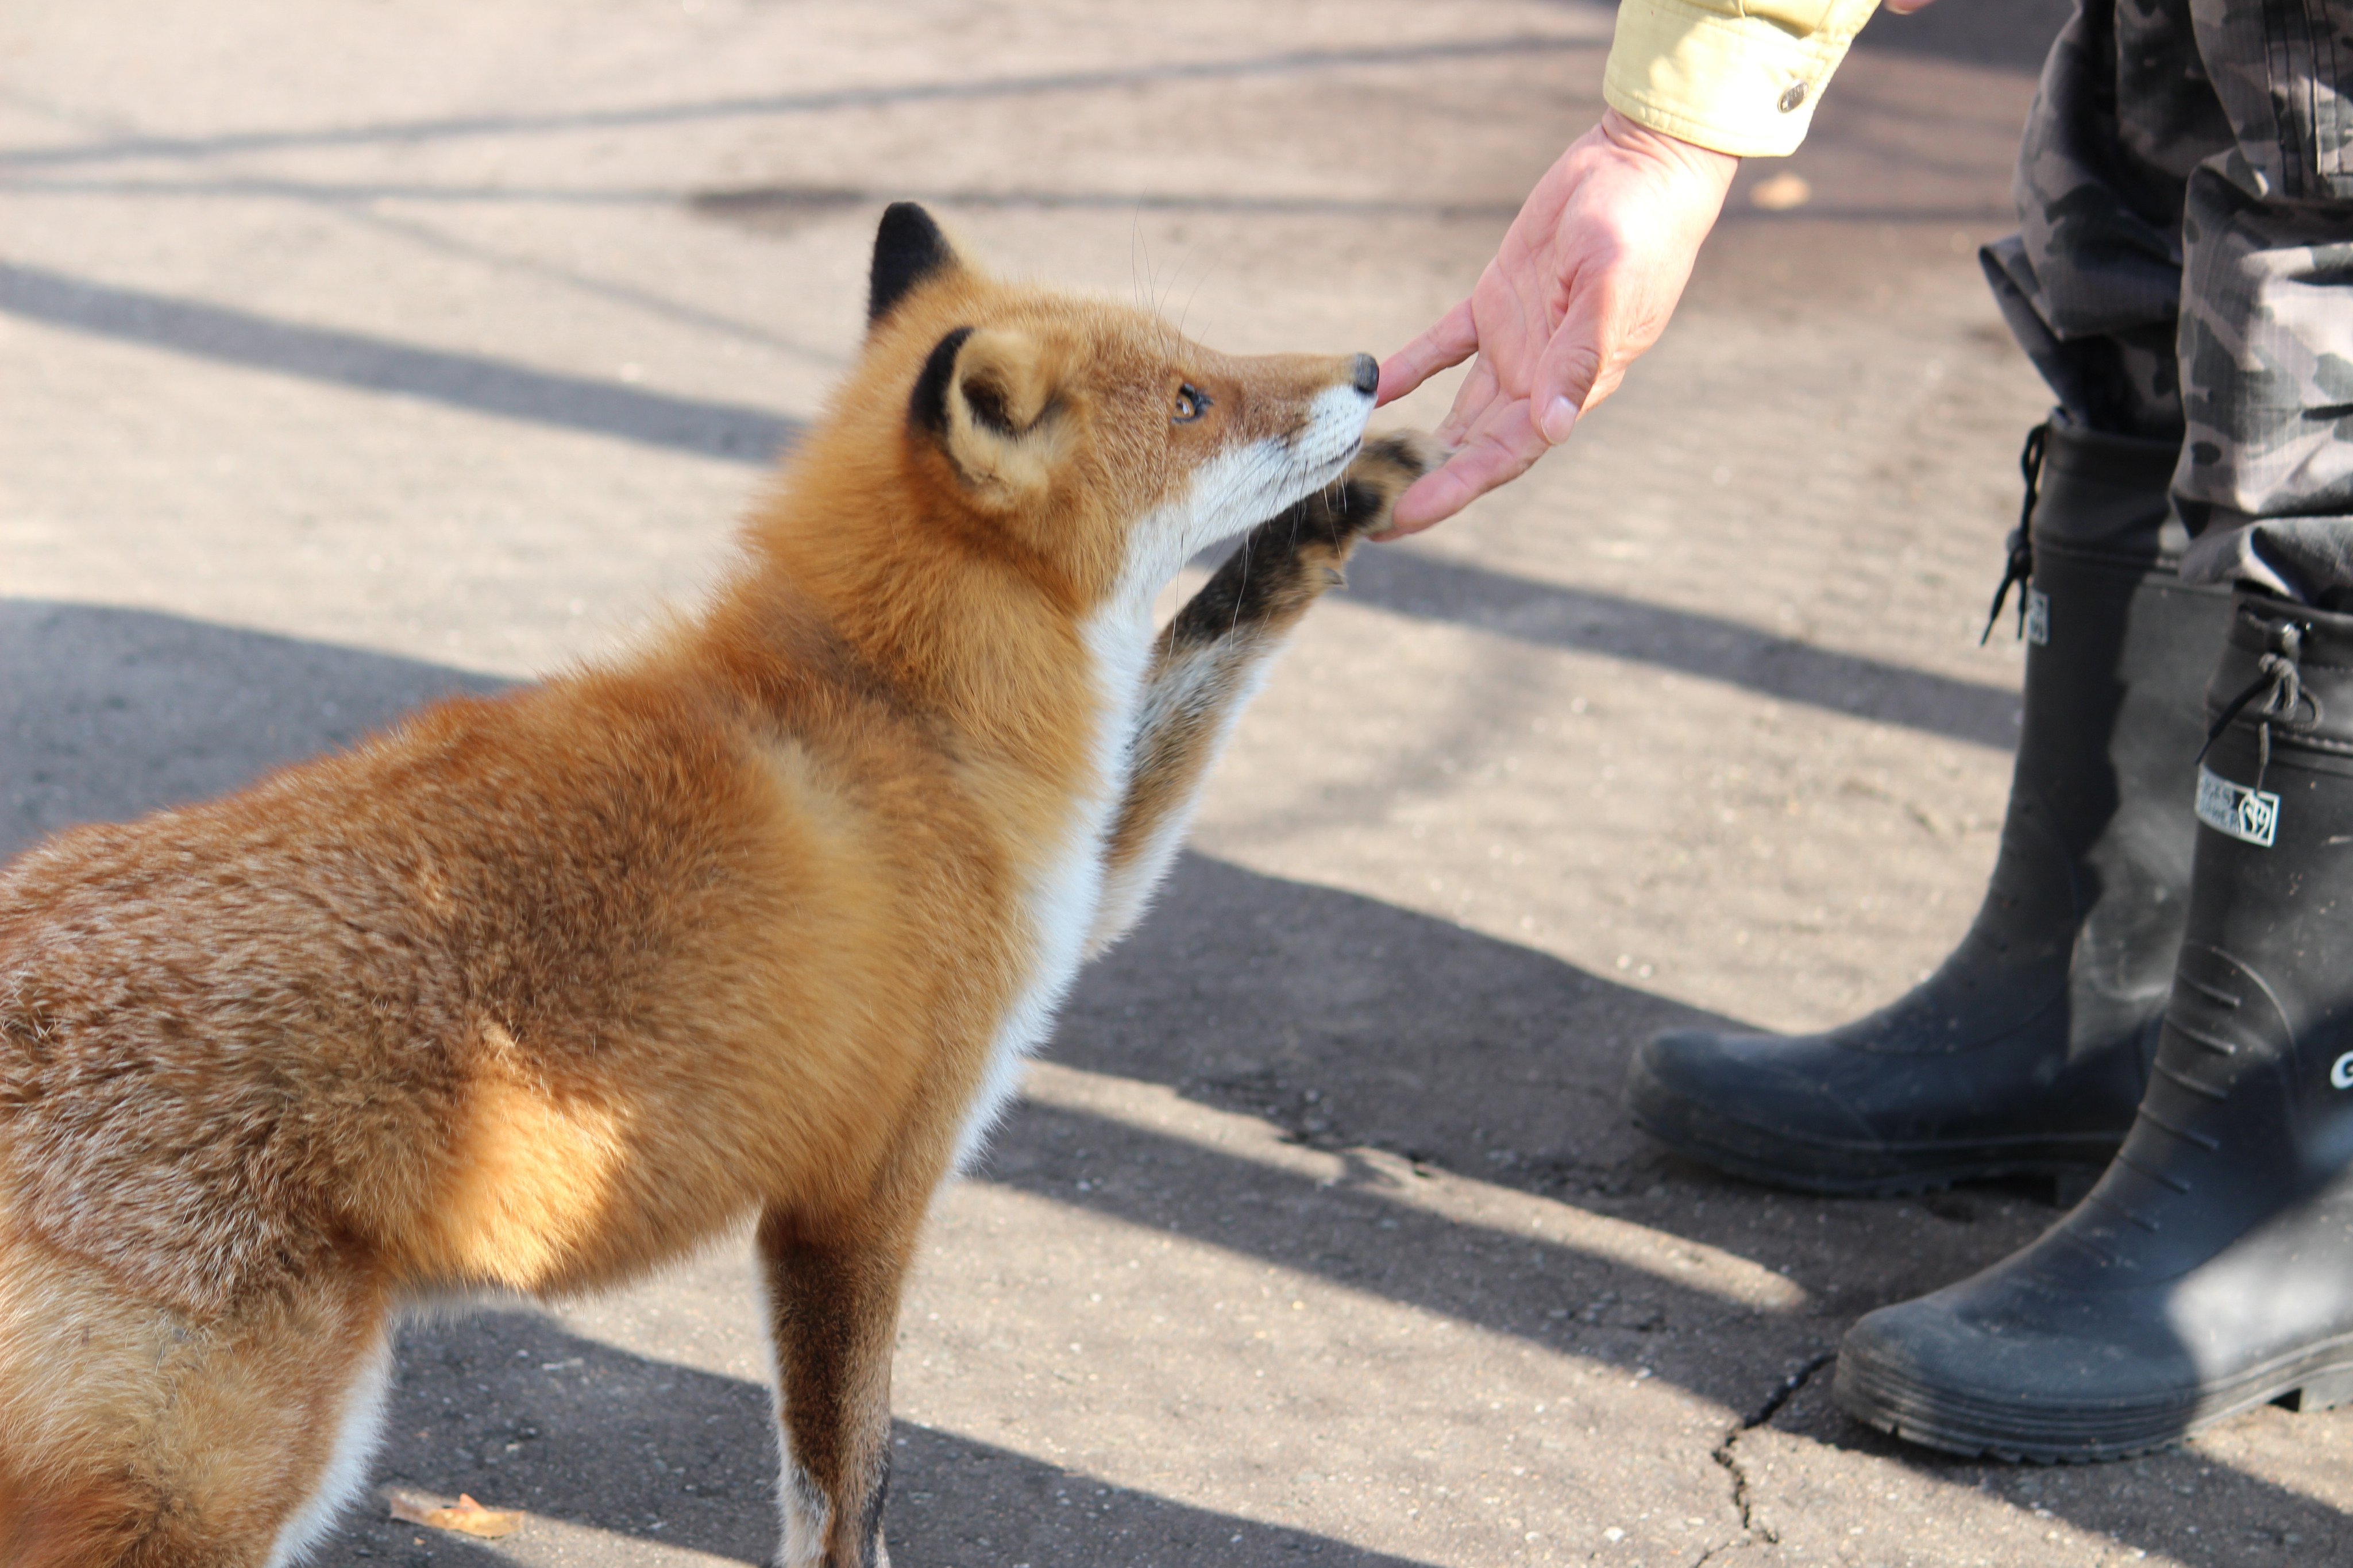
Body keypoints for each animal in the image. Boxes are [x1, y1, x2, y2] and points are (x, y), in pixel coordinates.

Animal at [0, 208, 1430, 1568]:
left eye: (1205, 362)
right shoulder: (860, 1192)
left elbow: (1201, 658)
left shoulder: (1078, 876)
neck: (896, 703)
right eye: (1191, 401)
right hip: (224, 1493)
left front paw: (1330, 519)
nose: (1368, 367)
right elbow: (845, 1489)